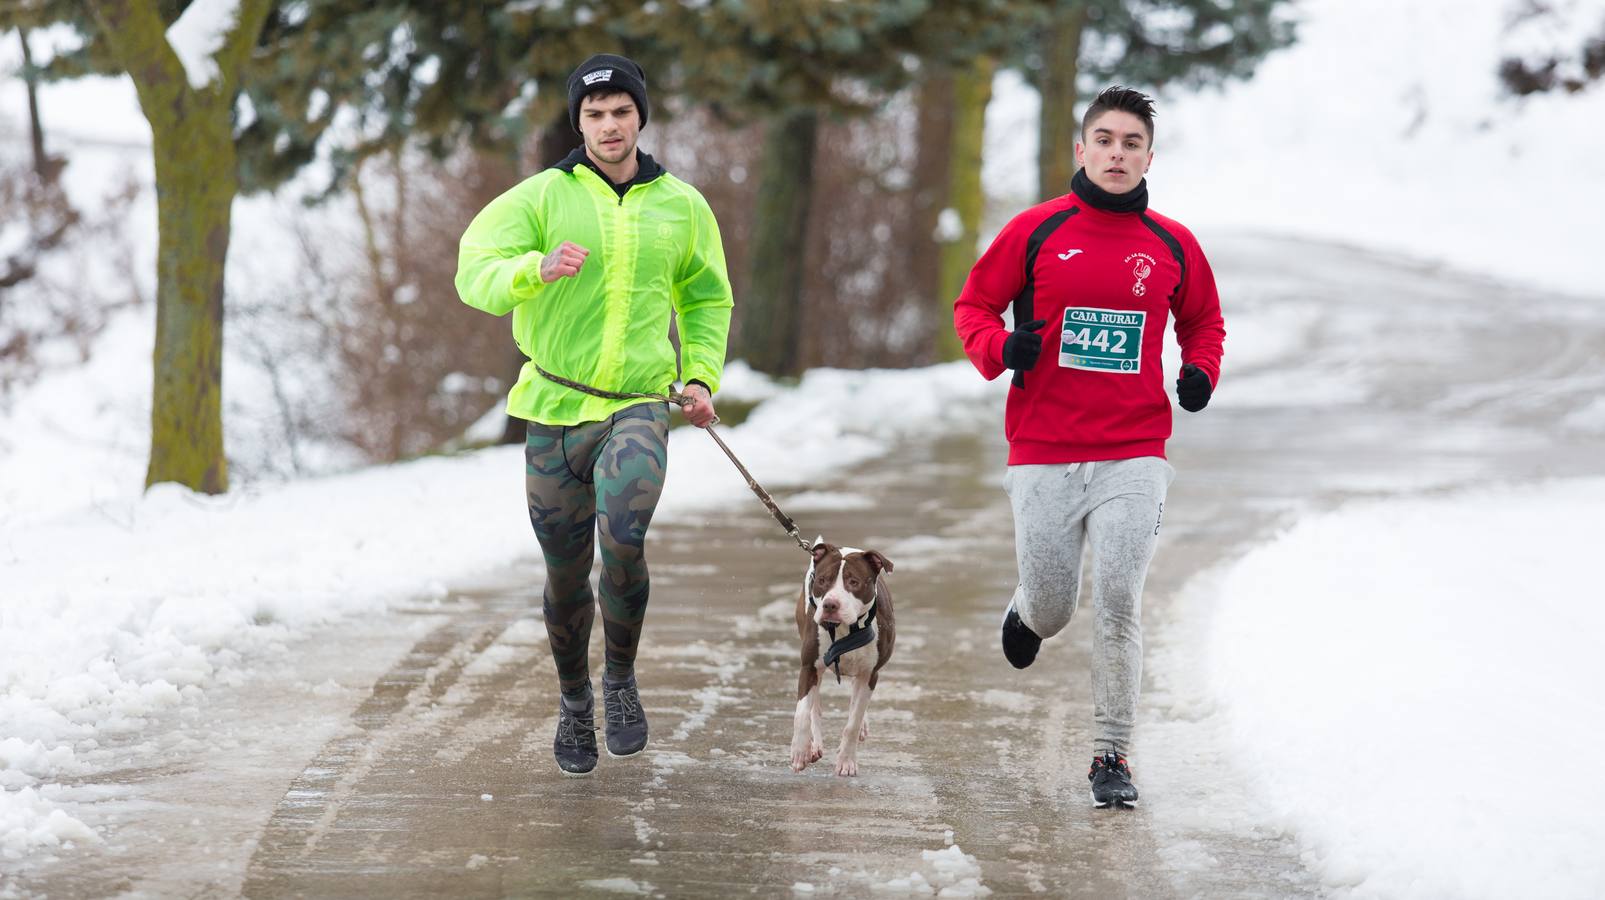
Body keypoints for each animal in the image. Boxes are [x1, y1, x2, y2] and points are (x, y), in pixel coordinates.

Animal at [789, 535, 892, 776]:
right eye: (822, 581)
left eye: (853, 582)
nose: (830, 604)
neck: (846, 629)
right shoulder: (809, 666)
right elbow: (802, 713)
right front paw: (800, 750)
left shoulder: (869, 673)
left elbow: (852, 723)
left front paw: (846, 761)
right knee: (815, 706)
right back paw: (813, 746)